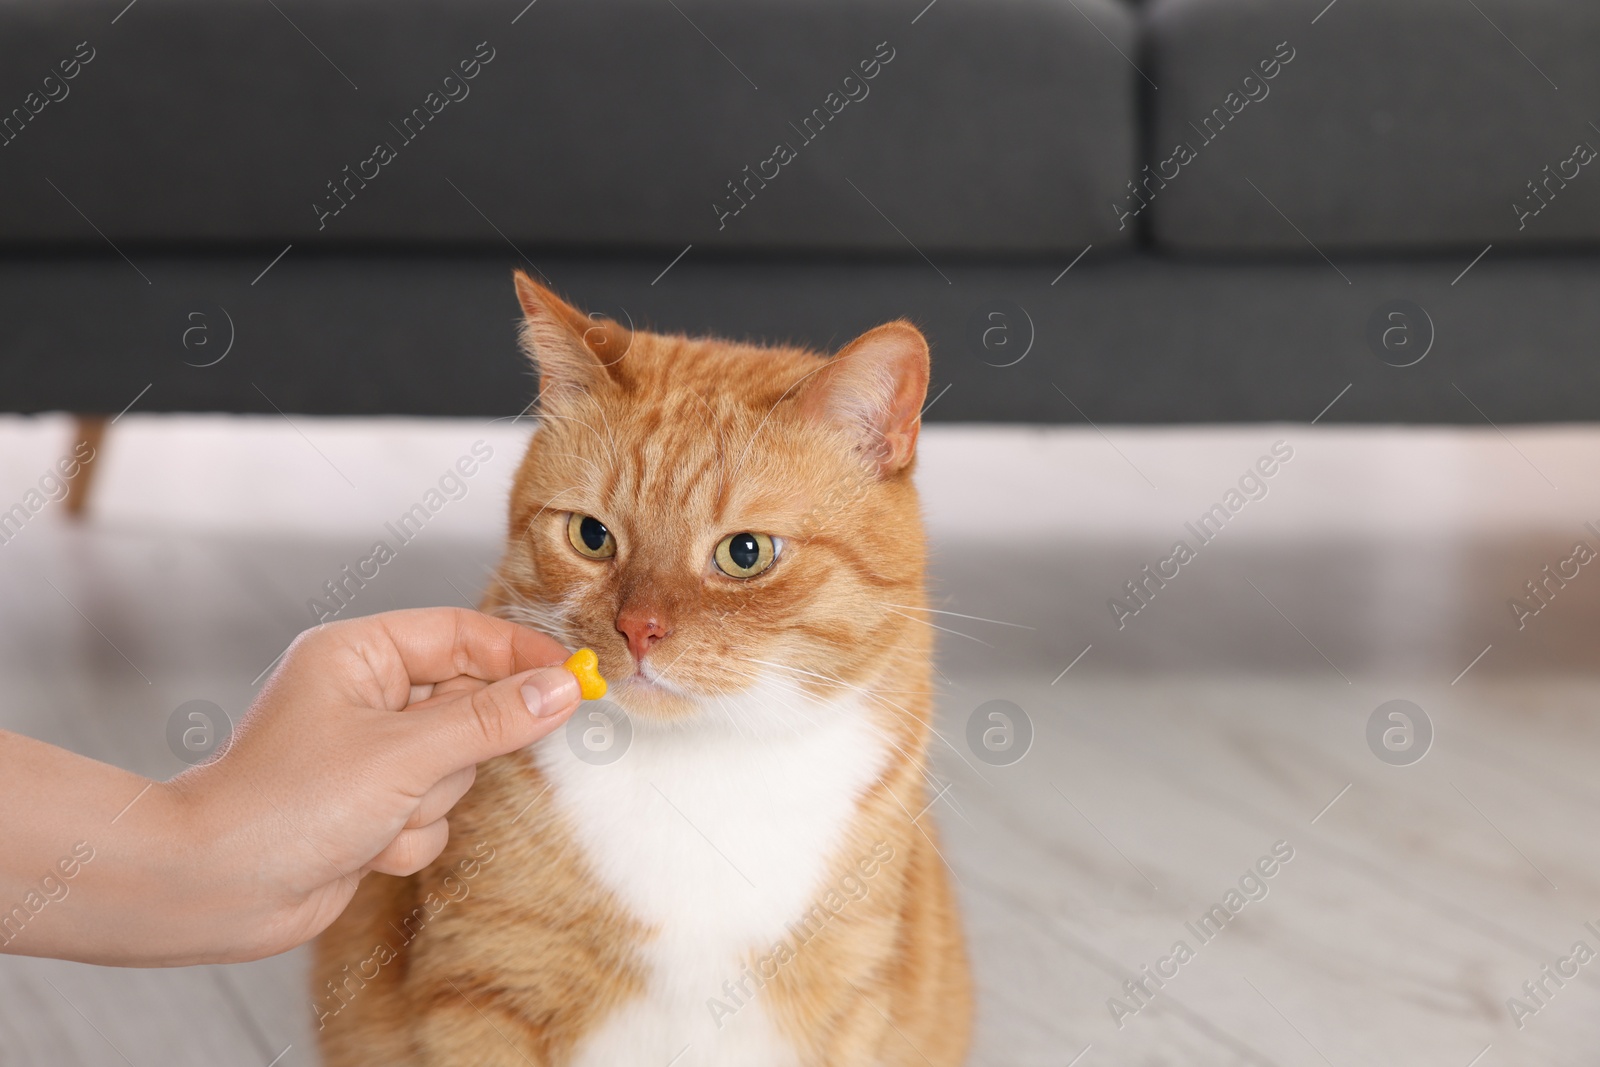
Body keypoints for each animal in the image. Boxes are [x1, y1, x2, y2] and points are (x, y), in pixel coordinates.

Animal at [305, 271, 966, 1062]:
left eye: (746, 553)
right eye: (592, 536)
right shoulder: (486, 986)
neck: (696, 777)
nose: (638, 628)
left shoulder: (846, 1002)